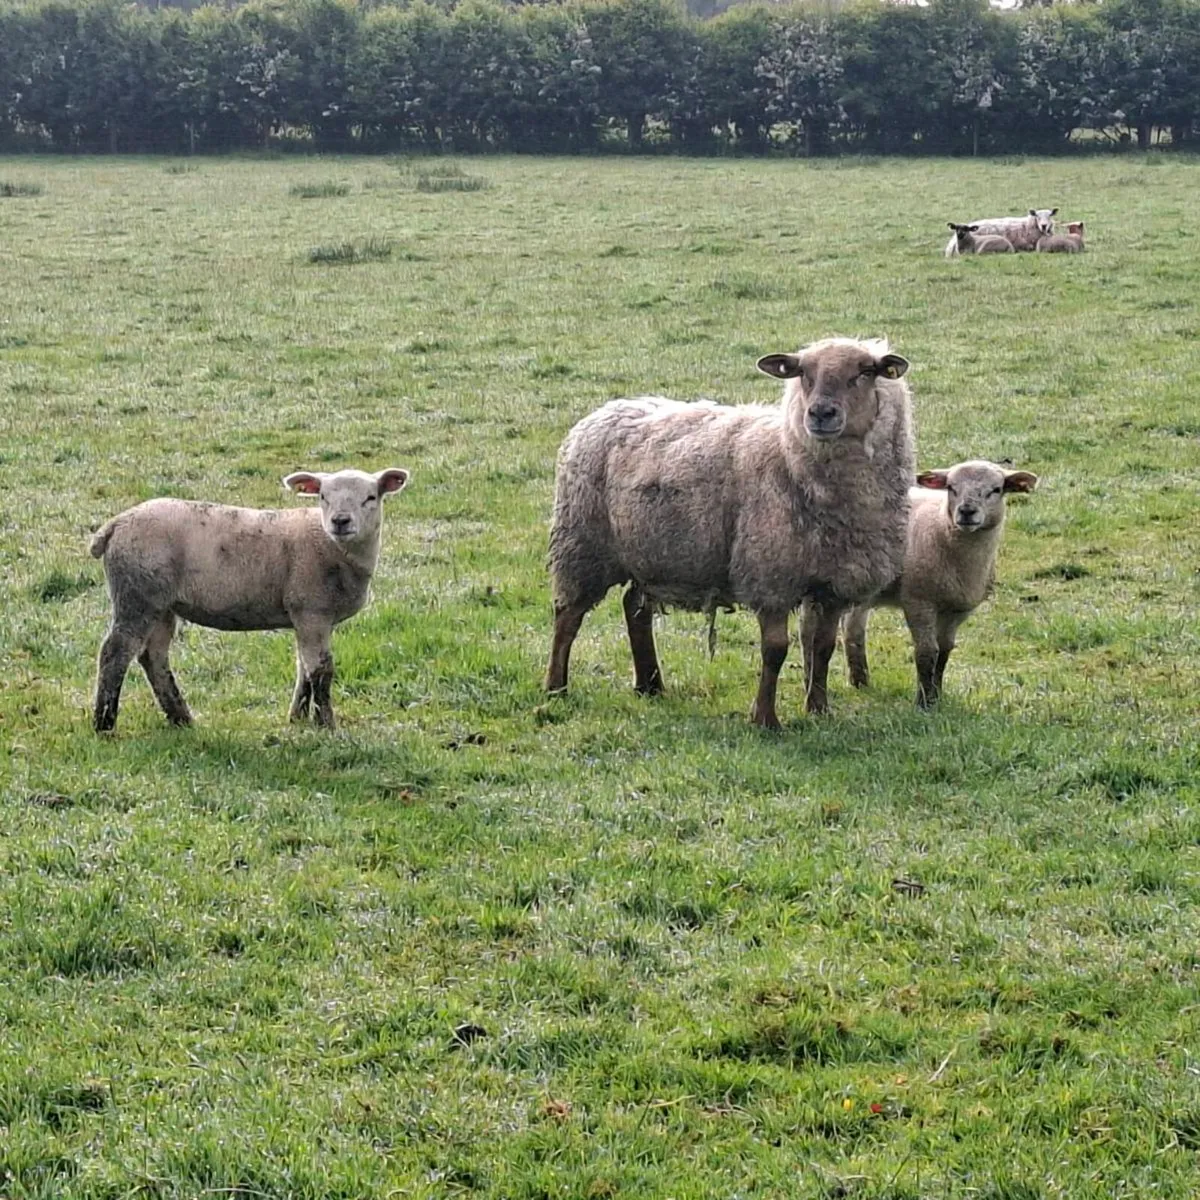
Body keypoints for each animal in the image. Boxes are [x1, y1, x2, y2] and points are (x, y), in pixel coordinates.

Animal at [89, 467, 410, 733]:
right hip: (137, 595)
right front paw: (326, 725)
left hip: (161, 604)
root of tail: (115, 525)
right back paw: (105, 724)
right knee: (115, 653)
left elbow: (303, 668)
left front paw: (297, 718)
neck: (333, 548)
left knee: (152, 656)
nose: (340, 521)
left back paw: (181, 718)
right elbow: (321, 669)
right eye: (322, 496)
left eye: (370, 497)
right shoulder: (311, 610)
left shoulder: (308, 617)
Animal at [544, 337, 916, 729]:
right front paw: (765, 719)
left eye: (865, 372)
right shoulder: (770, 577)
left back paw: (650, 685)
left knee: (634, 607)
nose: (820, 413)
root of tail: (604, 410)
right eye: (803, 373)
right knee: (567, 616)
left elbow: (824, 647)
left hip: (651, 554)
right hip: (582, 544)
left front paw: (819, 710)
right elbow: (775, 650)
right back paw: (555, 688)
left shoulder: (835, 585)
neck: (789, 459)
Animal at [842, 460, 1038, 708]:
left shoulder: (957, 609)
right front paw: (923, 703)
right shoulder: (918, 600)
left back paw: (860, 681)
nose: (966, 511)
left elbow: (944, 651)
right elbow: (927, 652)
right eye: (951, 487)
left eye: (996, 490)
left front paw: (937, 696)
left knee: (853, 627)